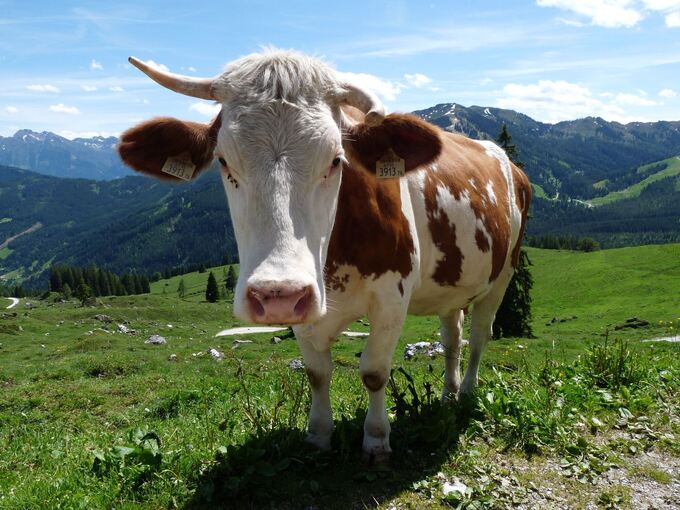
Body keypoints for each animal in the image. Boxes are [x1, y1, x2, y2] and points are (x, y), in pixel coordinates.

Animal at [118, 49, 531, 461]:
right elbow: (317, 372)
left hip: (504, 273)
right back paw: (448, 394)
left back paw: (468, 393)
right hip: (451, 285)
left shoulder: (391, 298)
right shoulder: (303, 303)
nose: (276, 293)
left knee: (478, 335)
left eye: (336, 159)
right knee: (452, 337)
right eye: (222, 161)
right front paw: (318, 434)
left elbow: (374, 372)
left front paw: (376, 439)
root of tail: (509, 163)